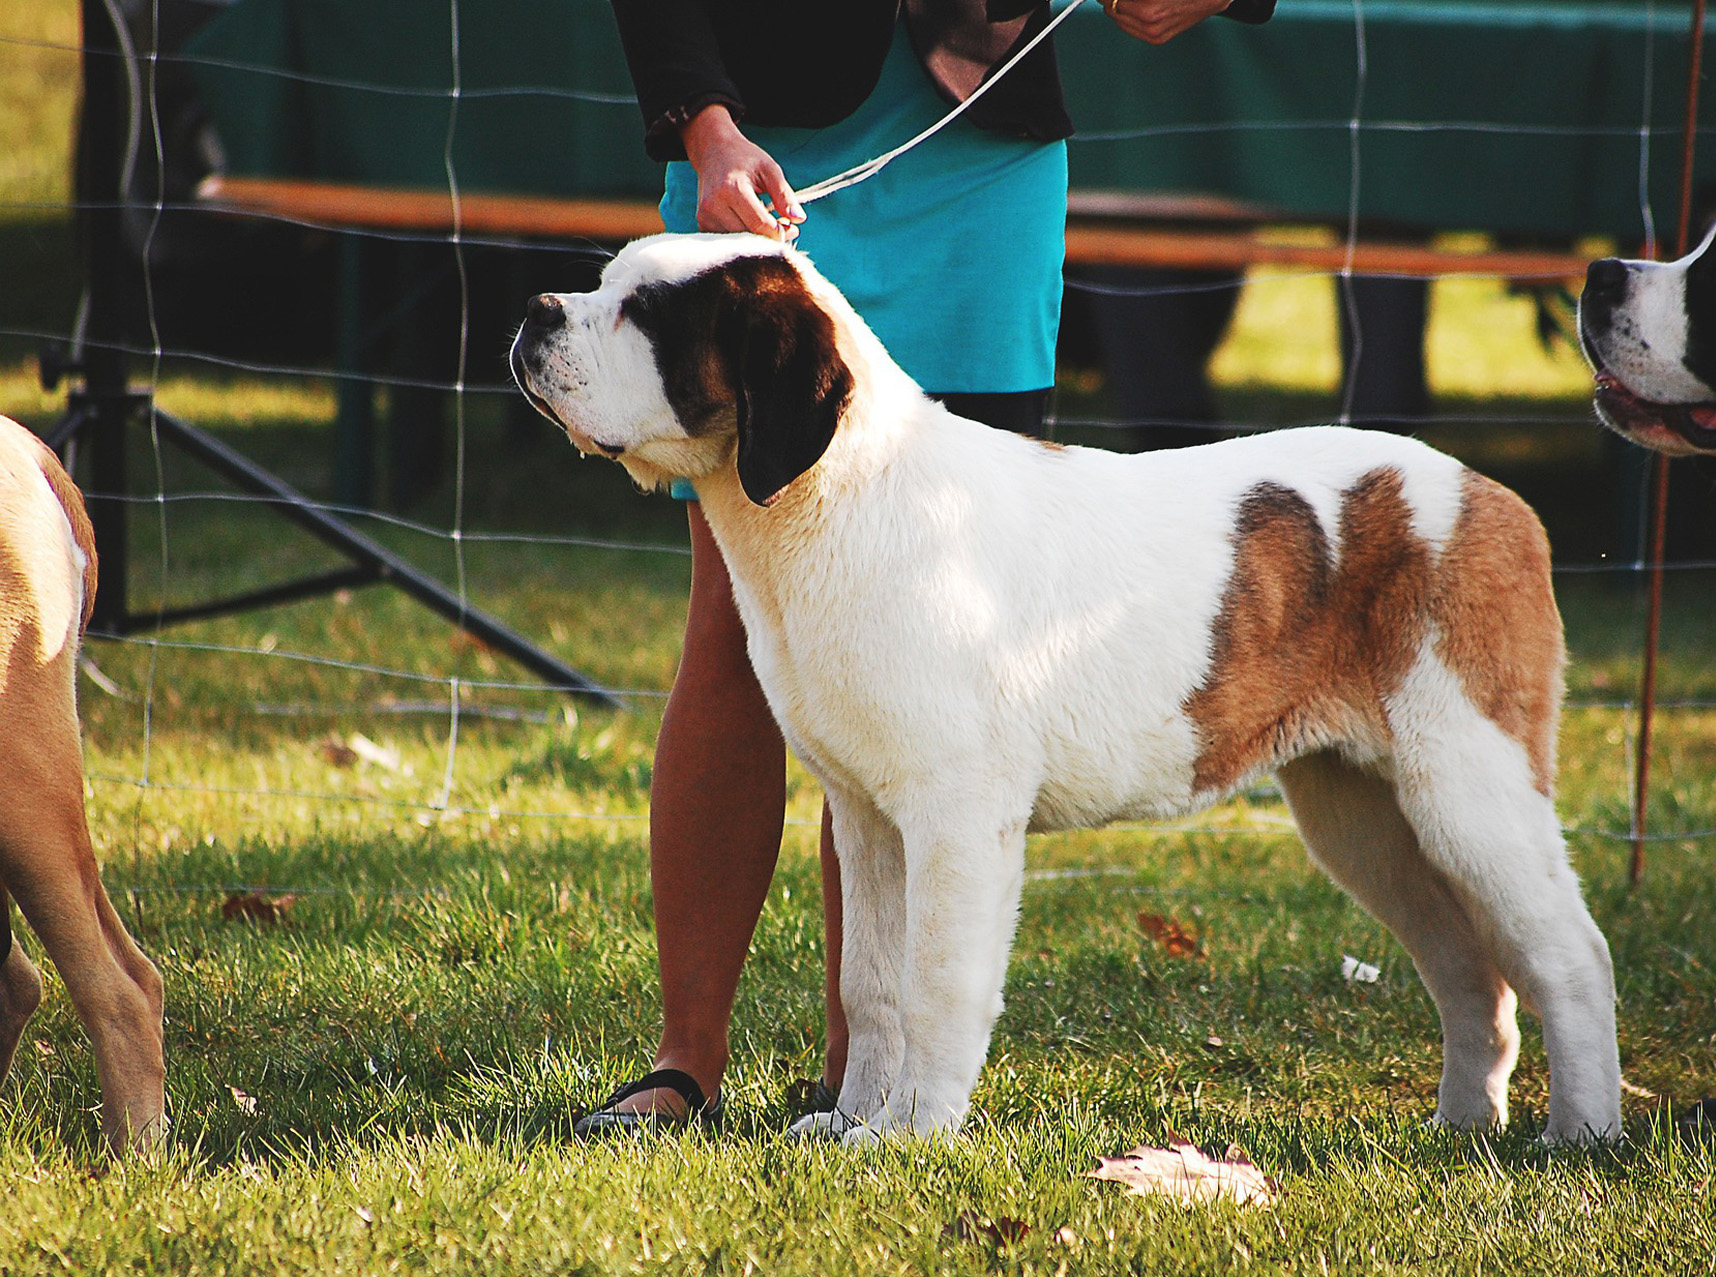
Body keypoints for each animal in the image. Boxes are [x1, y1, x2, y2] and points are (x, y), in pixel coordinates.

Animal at [507, 231, 1619, 1146]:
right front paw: (850, 1120)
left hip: (1467, 783)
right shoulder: (867, 817)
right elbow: (870, 983)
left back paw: (1582, 1135)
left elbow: (935, 983)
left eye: (649, 313)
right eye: (601, 284)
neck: (837, 494)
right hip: (1366, 814)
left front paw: (908, 1136)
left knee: (1571, 951)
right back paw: (1464, 1121)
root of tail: (1494, 496)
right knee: (1470, 969)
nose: (537, 309)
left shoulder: (958, 818)